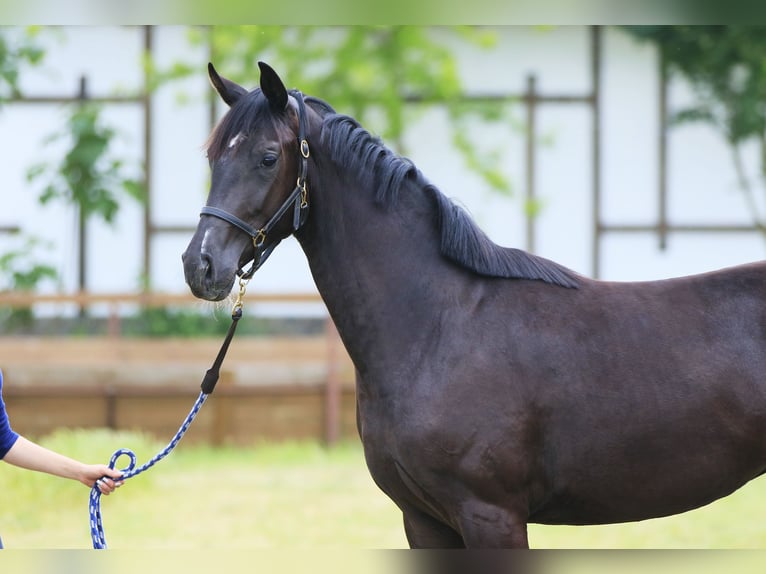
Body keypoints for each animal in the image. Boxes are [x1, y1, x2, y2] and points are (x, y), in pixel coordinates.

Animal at [183, 62, 766, 548]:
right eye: (211, 157)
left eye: (267, 157)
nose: (200, 265)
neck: (438, 328)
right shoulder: (423, 520)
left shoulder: (491, 516)